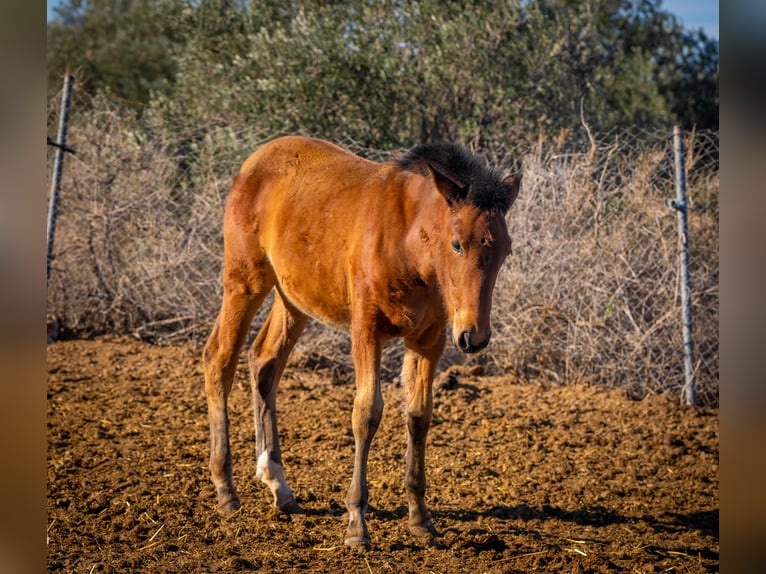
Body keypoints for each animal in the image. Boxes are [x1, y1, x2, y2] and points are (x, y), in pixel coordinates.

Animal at [204, 136, 520, 548]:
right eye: (456, 244)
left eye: (505, 249)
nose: (474, 336)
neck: (408, 241)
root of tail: (253, 163)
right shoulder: (366, 332)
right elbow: (367, 413)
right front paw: (357, 523)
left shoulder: (428, 341)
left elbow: (419, 415)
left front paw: (420, 517)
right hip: (245, 282)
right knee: (220, 360)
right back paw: (226, 489)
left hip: (293, 299)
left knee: (264, 362)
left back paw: (277, 483)